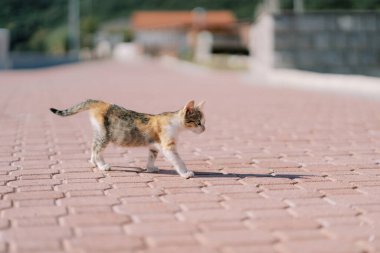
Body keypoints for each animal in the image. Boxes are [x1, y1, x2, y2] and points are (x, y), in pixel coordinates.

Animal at [51, 99, 205, 178]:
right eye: (198, 122)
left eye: (204, 122)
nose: (204, 129)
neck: (174, 122)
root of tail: (103, 103)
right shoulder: (168, 147)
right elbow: (178, 160)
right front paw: (185, 173)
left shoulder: (154, 146)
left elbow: (151, 156)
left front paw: (150, 168)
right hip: (105, 135)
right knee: (98, 150)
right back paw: (102, 165)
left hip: (99, 133)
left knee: (93, 146)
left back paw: (94, 162)